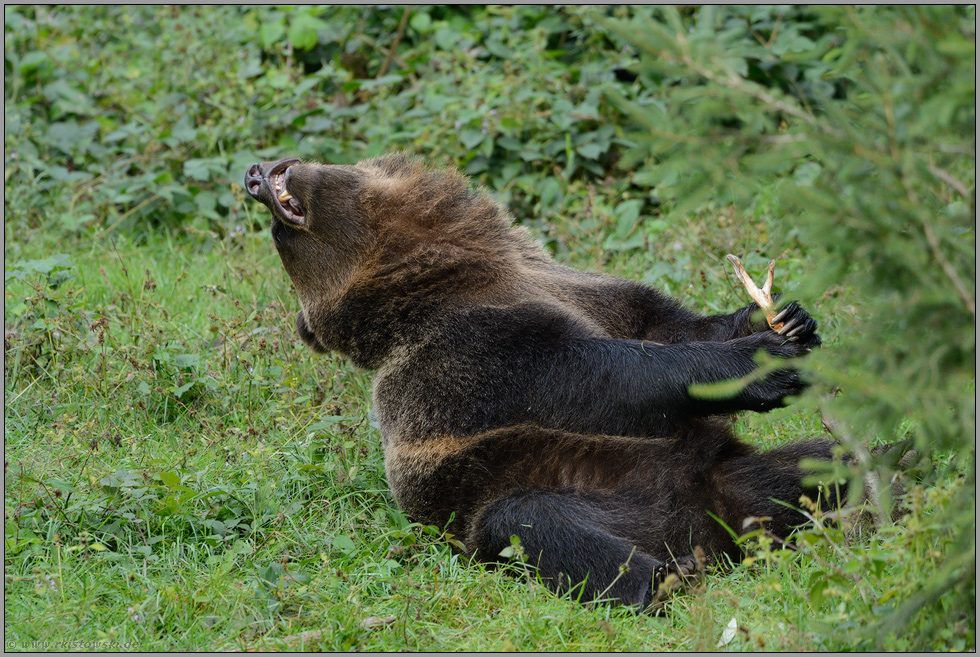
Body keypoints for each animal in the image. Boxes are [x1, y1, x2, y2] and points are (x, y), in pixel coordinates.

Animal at [243, 155, 836, 608]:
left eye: (275, 230)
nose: (252, 175)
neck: (451, 263)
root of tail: (712, 531)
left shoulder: (591, 292)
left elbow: (669, 325)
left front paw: (783, 319)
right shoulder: (471, 356)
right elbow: (596, 375)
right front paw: (760, 361)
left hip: (731, 479)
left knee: (813, 466)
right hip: (523, 497)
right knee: (538, 525)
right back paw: (663, 578)